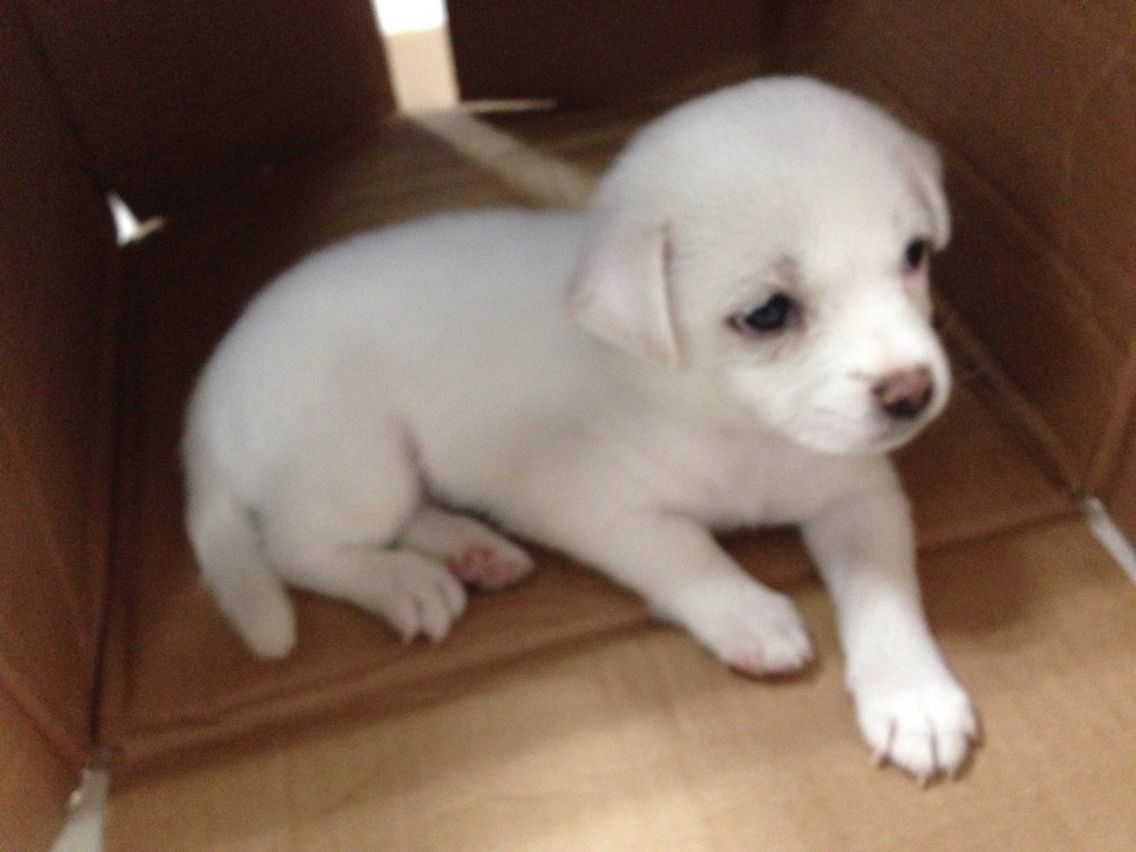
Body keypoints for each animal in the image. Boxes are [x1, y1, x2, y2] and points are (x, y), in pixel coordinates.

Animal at [183, 76, 977, 782]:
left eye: (914, 255)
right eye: (767, 313)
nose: (914, 393)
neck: (736, 427)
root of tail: (208, 393)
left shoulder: (860, 496)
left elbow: (885, 591)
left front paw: (912, 693)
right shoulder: (587, 506)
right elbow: (684, 548)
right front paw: (748, 613)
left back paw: (470, 549)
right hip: (361, 461)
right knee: (294, 545)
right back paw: (401, 581)